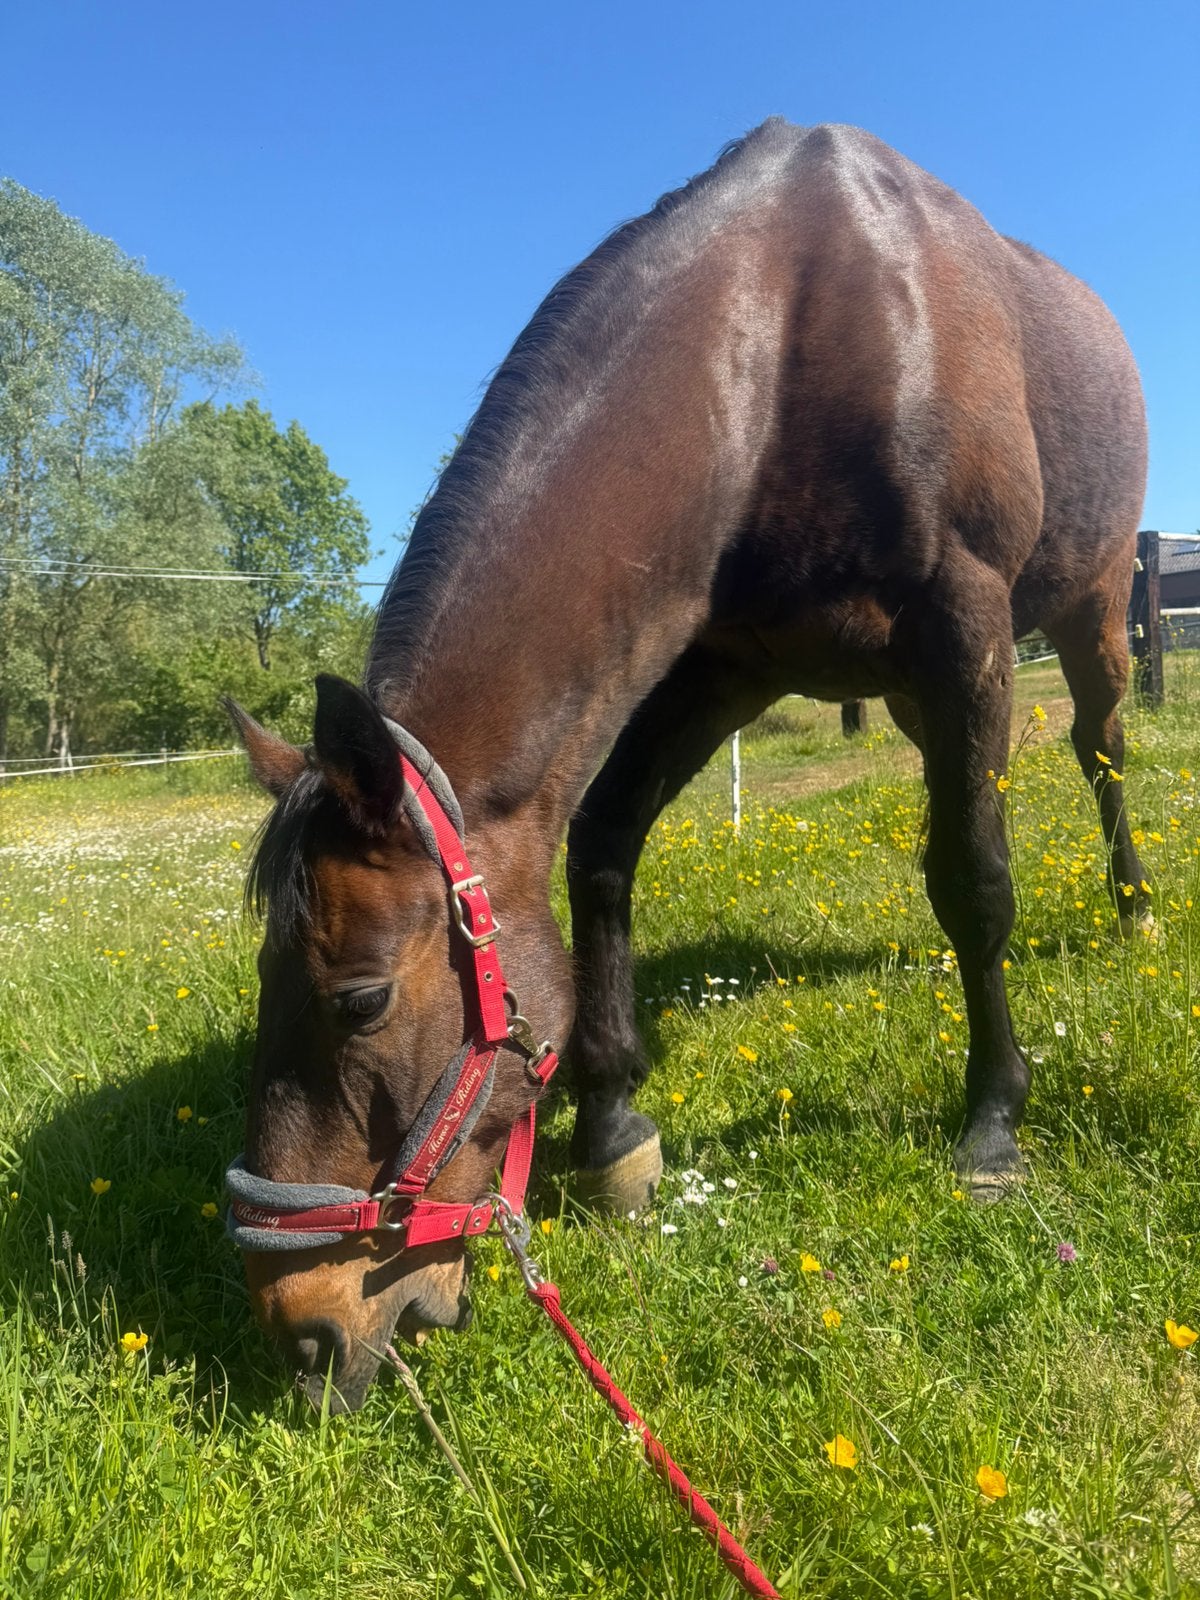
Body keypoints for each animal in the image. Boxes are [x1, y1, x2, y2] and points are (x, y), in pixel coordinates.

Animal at [225, 119, 1147, 1410]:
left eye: (358, 999)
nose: (301, 1331)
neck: (788, 340)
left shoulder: (965, 632)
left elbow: (976, 879)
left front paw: (992, 1123)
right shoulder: (717, 666)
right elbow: (604, 844)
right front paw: (613, 1128)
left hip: (1089, 606)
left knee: (1100, 750)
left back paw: (1134, 908)